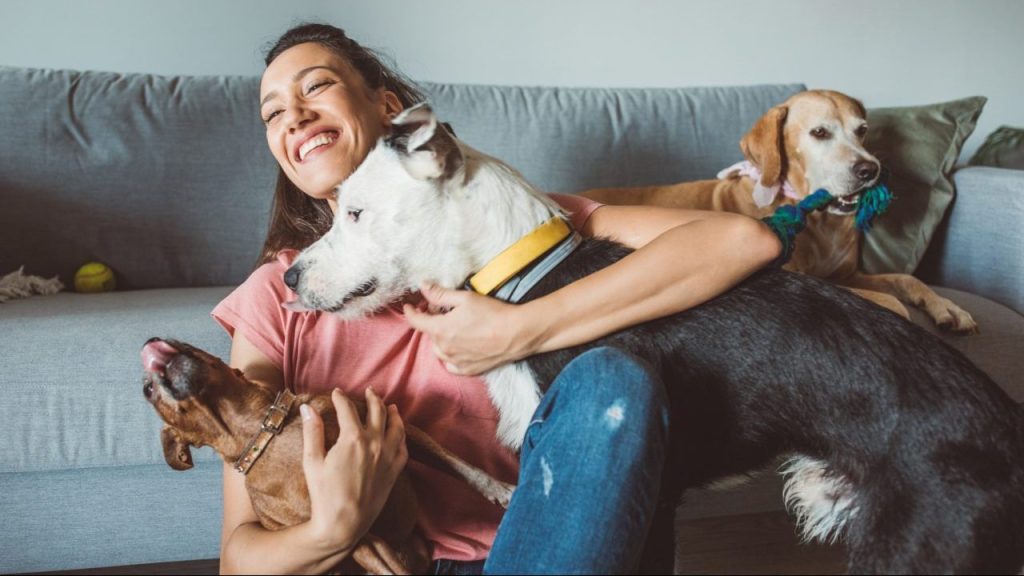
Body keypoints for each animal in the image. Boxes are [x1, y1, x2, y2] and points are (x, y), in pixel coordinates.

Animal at [139, 336, 512, 573]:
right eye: (147, 390)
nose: (148, 344)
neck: (266, 429)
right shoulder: (355, 536)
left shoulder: (401, 427)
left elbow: (459, 465)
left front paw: (500, 490)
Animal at [585, 89, 974, 332]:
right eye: (820, 132)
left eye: (862, 130)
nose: (869, 169)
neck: (821, 221)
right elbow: (891, 303)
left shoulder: (847, 274)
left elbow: (905, 279)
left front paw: (947, 307)